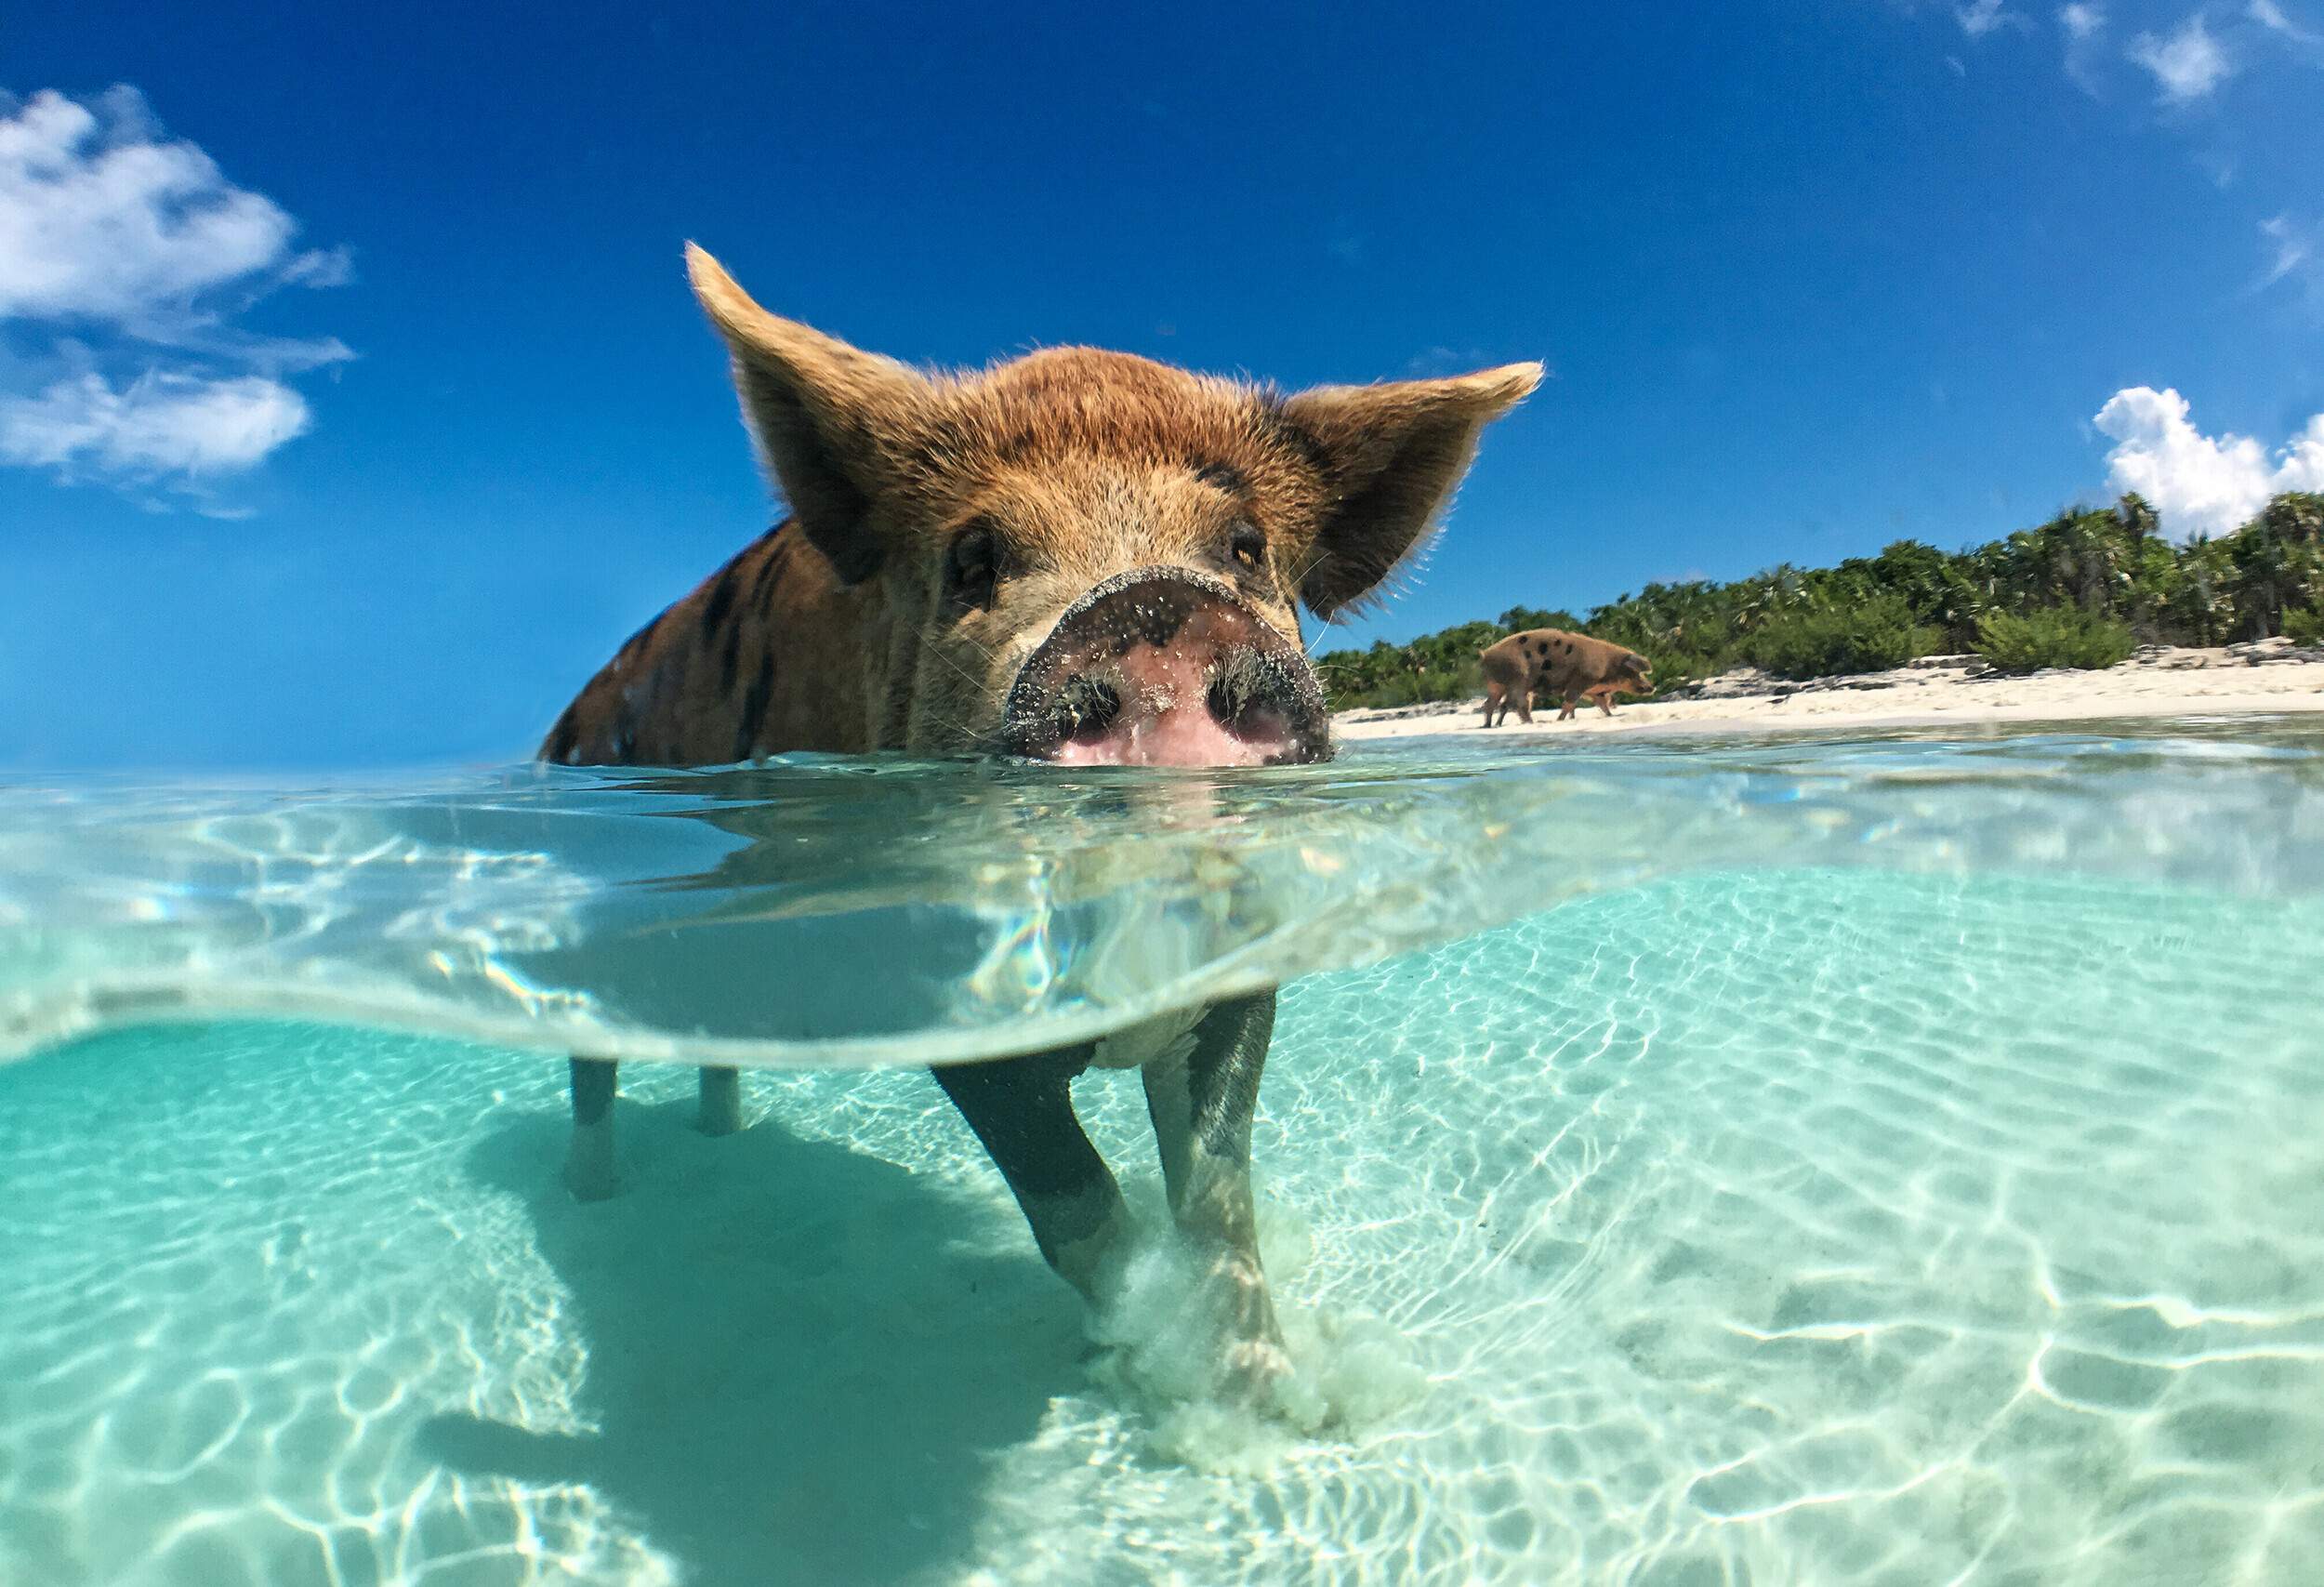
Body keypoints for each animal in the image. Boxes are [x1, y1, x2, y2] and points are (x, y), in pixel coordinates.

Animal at [535, 248, 1534, 1403]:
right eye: (973, 556)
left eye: (1244, 547)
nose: (1153, 609)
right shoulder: (937, 983)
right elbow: (1074, 1205)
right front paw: (1149, 1374)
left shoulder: (1243, 966)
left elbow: (1217, 1200)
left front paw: (1275, 1403)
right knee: (589, 1064)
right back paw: (592, 1197)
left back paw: (718, 1137)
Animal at [1478, 631, 1645, 734]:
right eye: (1635, 673)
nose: (1650, 687)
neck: (1608, 664)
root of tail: (1486, 654)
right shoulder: (1580, 681)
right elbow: (1570, 703)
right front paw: (1560, 720)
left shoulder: (1593, 690)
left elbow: (1601, 704)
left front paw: (1610, 715)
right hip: (1519, 680)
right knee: (1518, 704)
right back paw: (1529, 723)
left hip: (1496, 685)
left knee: (1492, 704)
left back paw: (1489, 725)